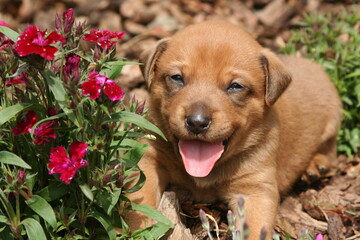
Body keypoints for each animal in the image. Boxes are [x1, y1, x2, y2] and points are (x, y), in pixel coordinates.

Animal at [127, 21, 344, 239]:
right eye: (177, 78)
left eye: (235, 86)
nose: (197, 122)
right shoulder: (149, 161)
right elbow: (140, 202)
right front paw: (141, 230)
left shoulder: (256, 189)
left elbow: (255, 229)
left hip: (332, 123)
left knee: (331, 151)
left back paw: (316, 166)